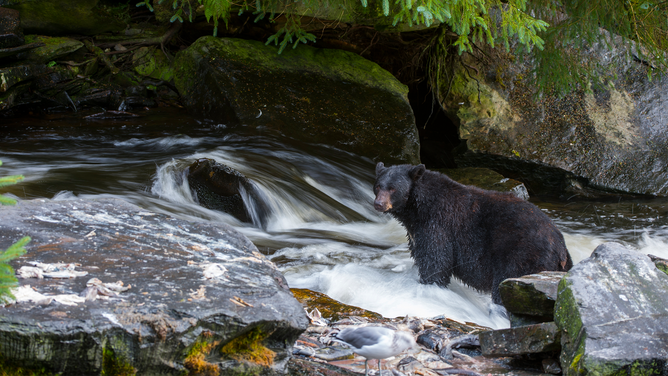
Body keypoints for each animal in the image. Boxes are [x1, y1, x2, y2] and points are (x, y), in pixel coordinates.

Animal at [374, 163, 572, 304]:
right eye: (378, 186)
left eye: (392, 188)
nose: (378, 203)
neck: (419, 208)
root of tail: (560, 247)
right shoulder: (417, 231)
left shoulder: (439, 224)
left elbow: (436, 262)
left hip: (522, 257)